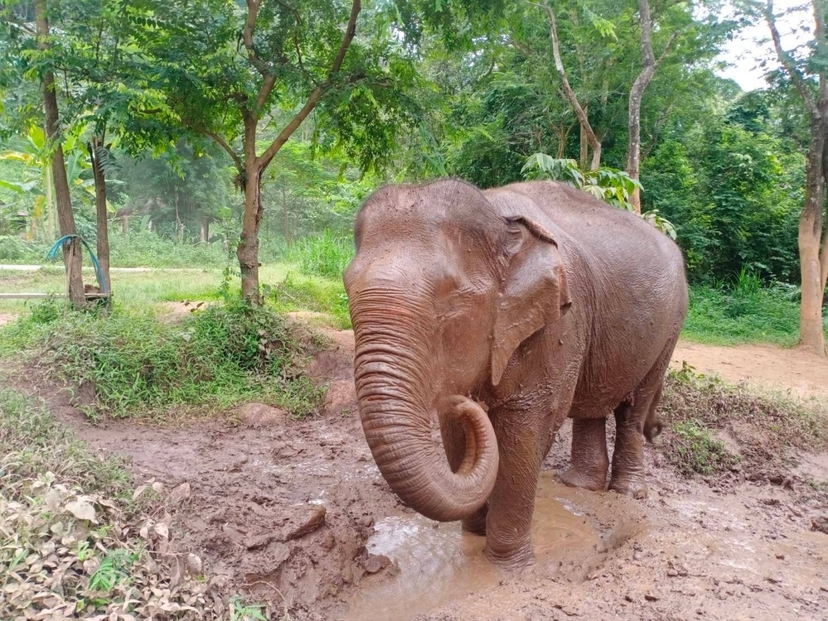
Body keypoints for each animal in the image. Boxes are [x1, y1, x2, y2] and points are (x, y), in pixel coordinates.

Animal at [343, 179, 687, 568]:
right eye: (346, 287)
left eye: (451, 300)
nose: (466, 400)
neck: (498, 216)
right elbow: (453, 431)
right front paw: (473, 534)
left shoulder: (559, 319)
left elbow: (529, 424)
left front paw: (507, 566)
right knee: (592, 405)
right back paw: (579, 486)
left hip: (671, 326)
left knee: (633, 408)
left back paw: (626, 491)